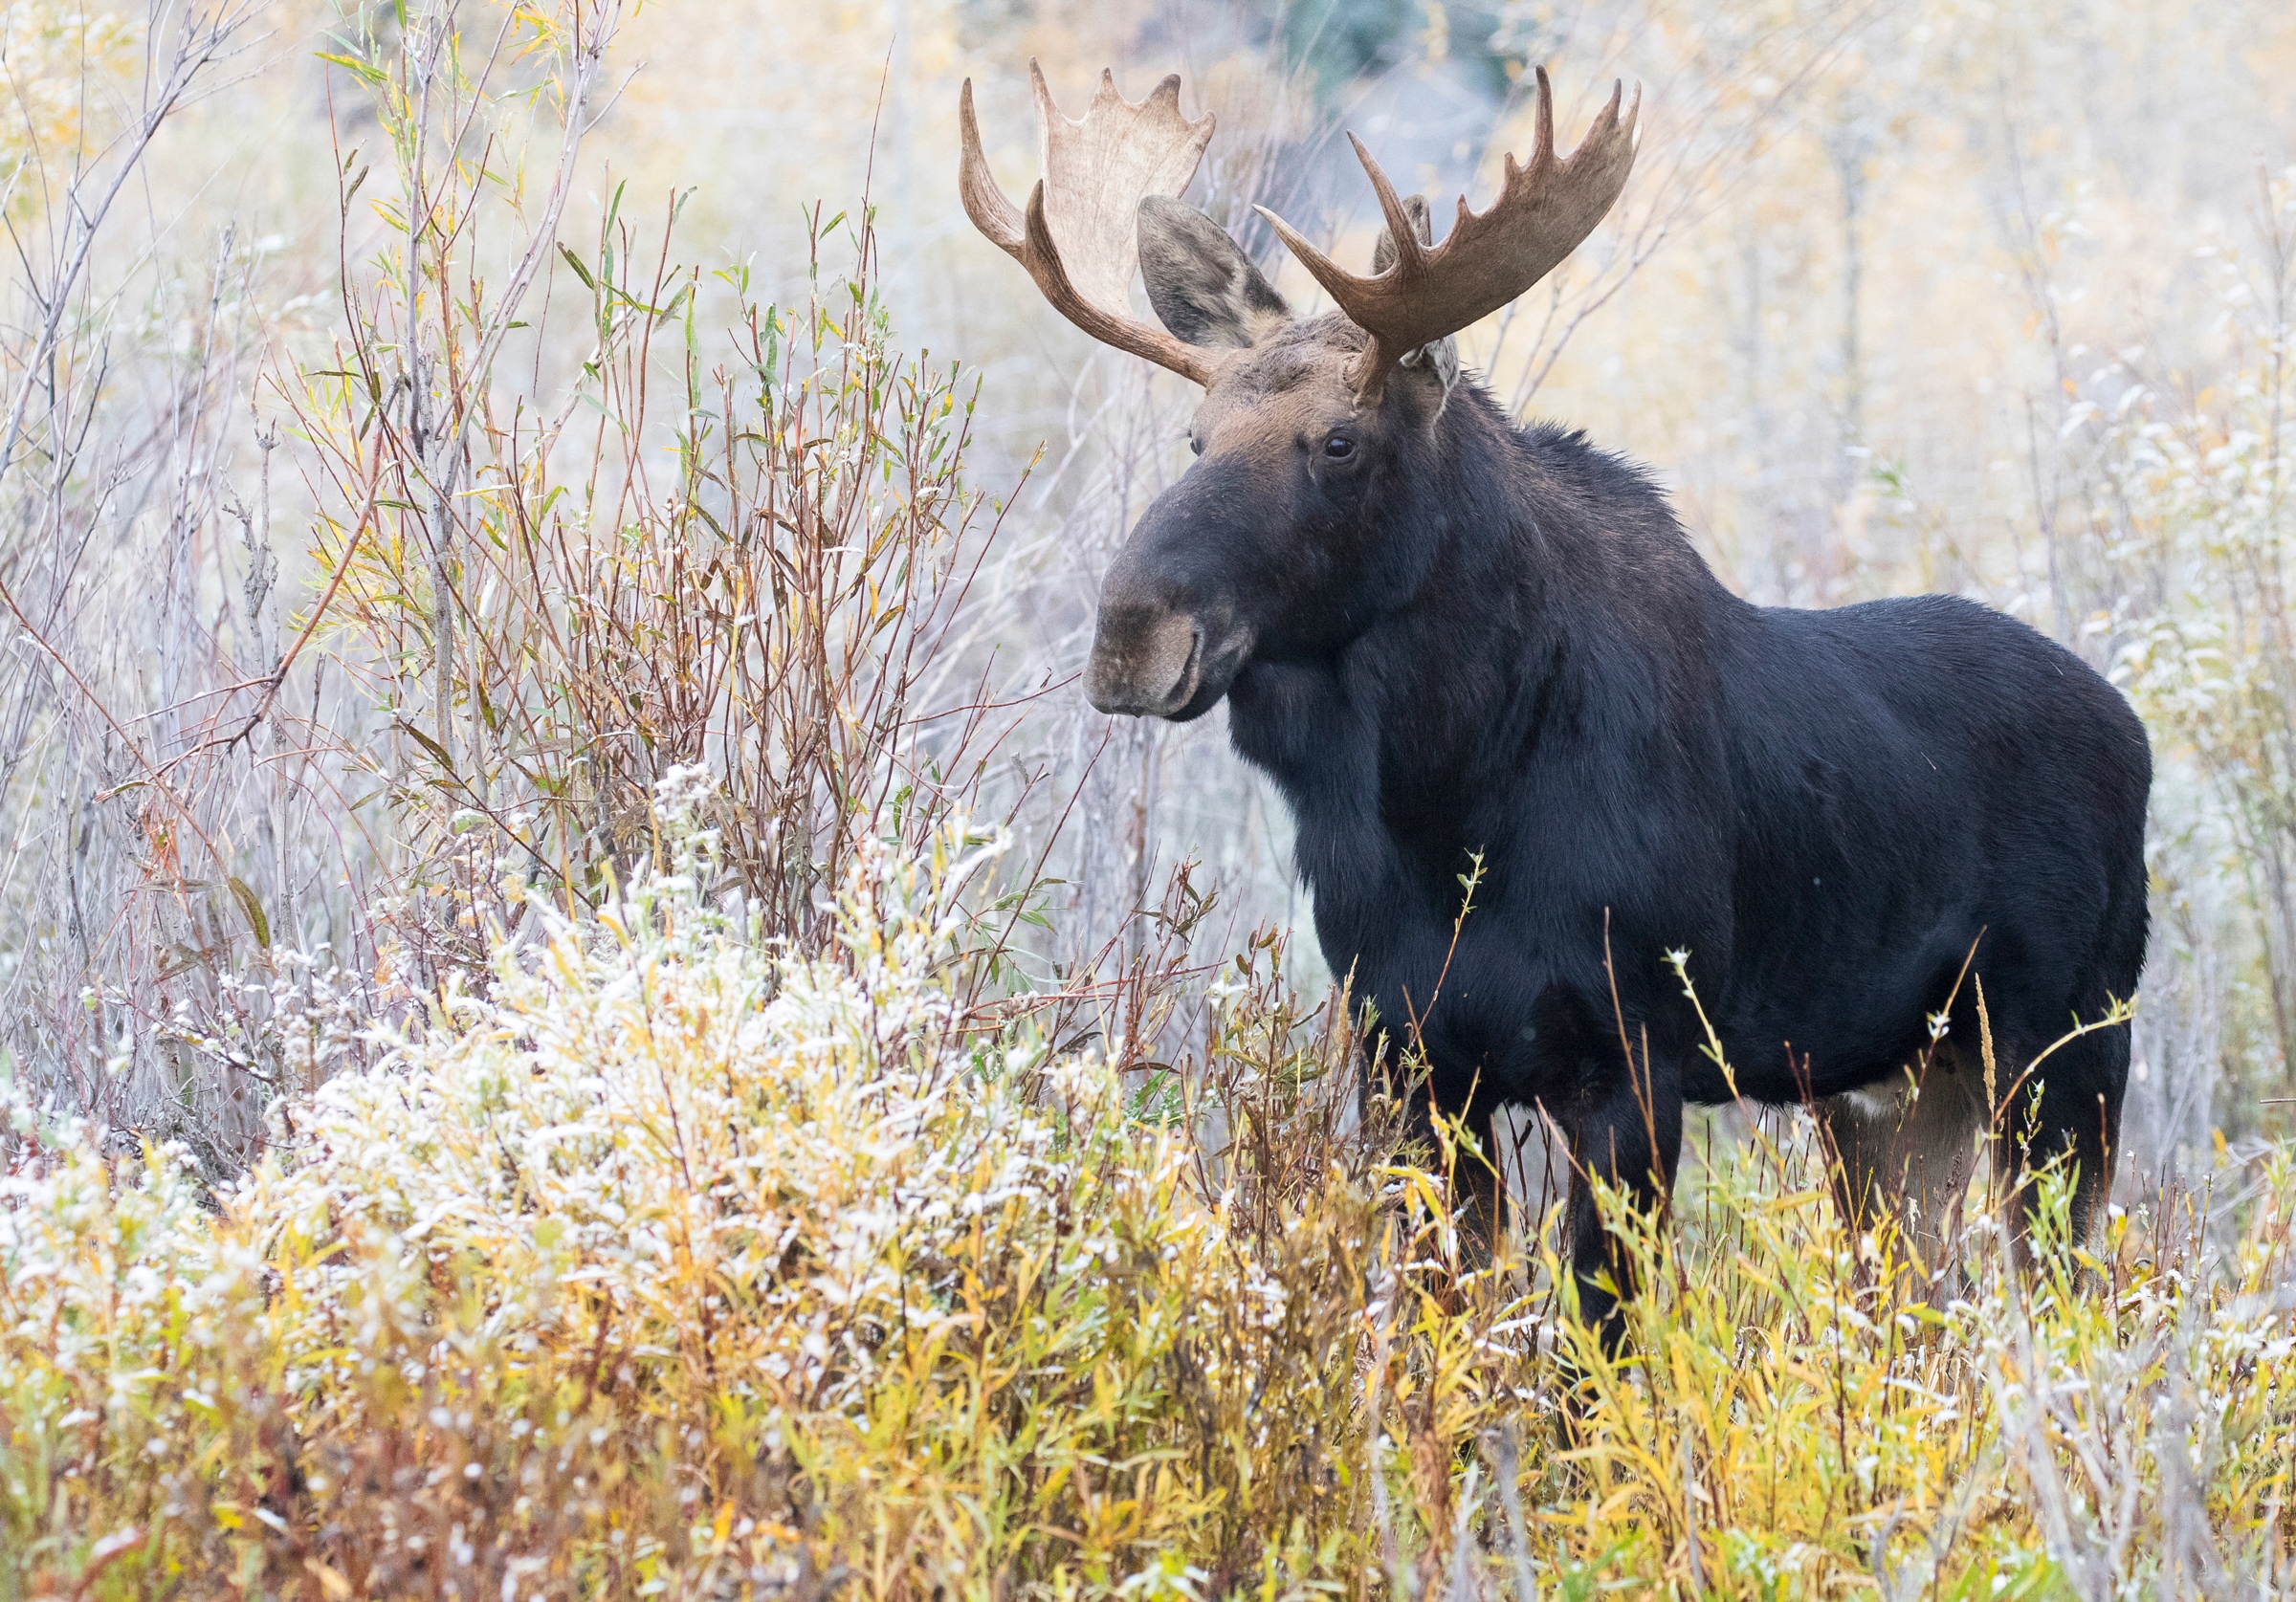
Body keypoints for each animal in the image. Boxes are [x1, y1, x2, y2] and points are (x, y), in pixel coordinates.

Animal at [955, 65, 2149, 1330]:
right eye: (1196, 434)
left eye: (1339, 441)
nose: (1132, 632)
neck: (1442, 803)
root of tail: (2136, 735)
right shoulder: (1409, 1062)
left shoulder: (1634, 1064)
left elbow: (1591, 1341)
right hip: (1895, 1084)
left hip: (2066, 1046)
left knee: (2067, 1299)